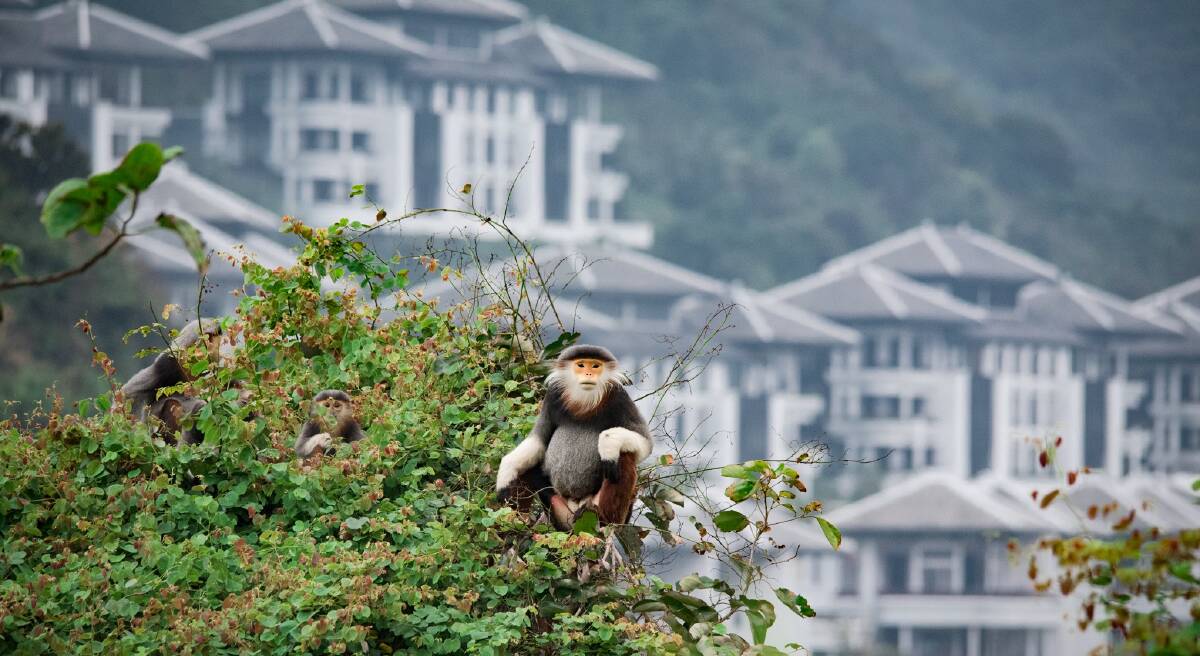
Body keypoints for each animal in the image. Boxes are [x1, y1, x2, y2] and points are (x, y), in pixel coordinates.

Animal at [495, 344, 652, 531]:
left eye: (596, 366)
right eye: (581, 365)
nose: (589, 374)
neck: (584, 402)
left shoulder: (620, 398)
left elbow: (645, 443)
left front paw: (608, 445)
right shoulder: (552, 398)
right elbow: (539, 441)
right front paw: (505, 475)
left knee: (623, 456)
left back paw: (604, 518)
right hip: (559, 513)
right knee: (528, 468)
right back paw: (517, 521)